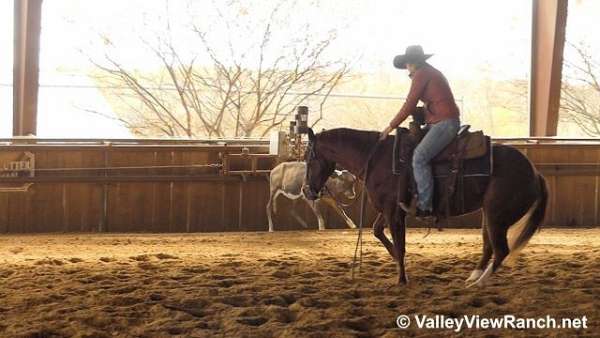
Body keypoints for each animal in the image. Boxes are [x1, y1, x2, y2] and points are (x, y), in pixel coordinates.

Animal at [304, 128, 548, 286]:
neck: (377, 160)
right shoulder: (391, 210)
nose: (307, 191)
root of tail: (534, 173)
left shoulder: (394, 213)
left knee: (501, 250)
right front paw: (396, 260)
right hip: (488, 215)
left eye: (309, 158)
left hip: (497, 215)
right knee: (489, 247)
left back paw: (478, 283)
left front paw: (402, 279)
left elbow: (400, 243)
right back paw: (473, 277)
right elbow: (378, 231)